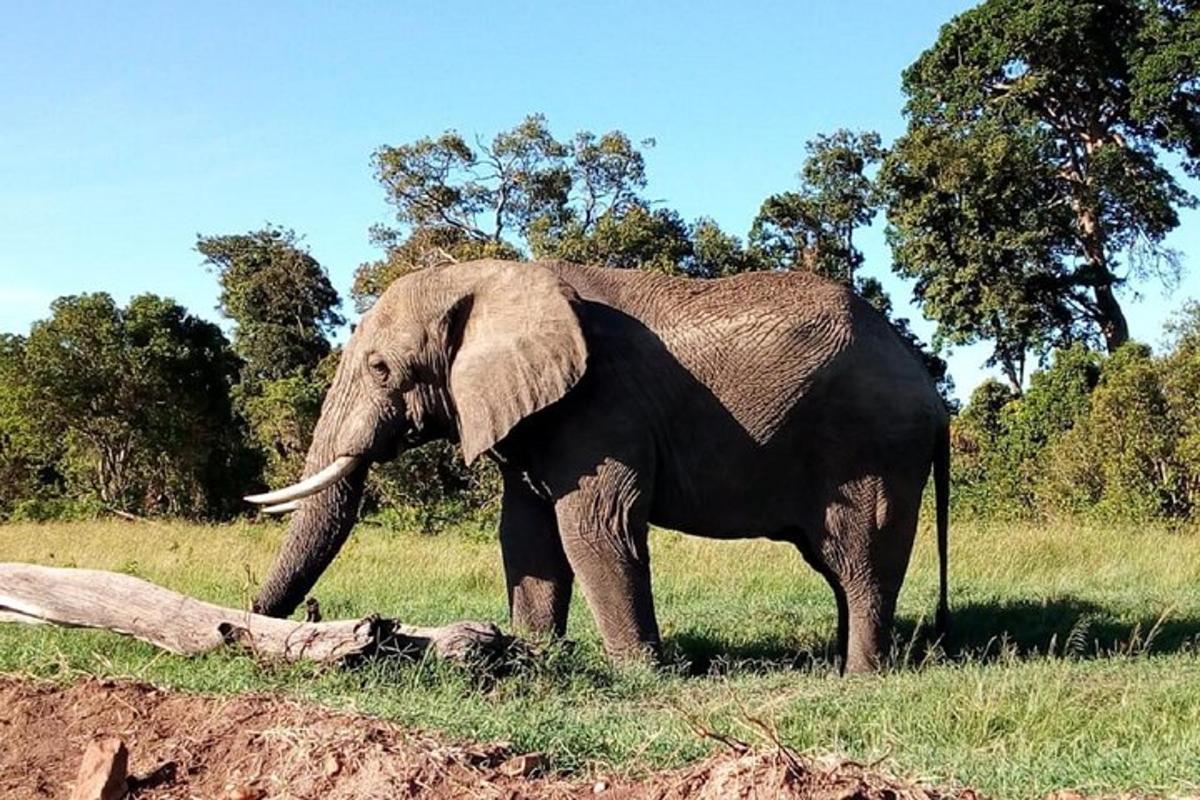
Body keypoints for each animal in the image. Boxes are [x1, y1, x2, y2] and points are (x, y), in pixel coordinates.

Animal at [248, 260, 950, 671]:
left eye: (379, 369)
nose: (253, 623)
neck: (495, 277)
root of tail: (931, 388)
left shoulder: (602, 408)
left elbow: (593, 528)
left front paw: (640, 674)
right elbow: (525, 534)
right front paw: (533, 654)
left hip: (874, 450)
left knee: (860, 559)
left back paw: (859, 676)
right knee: (836, 566)